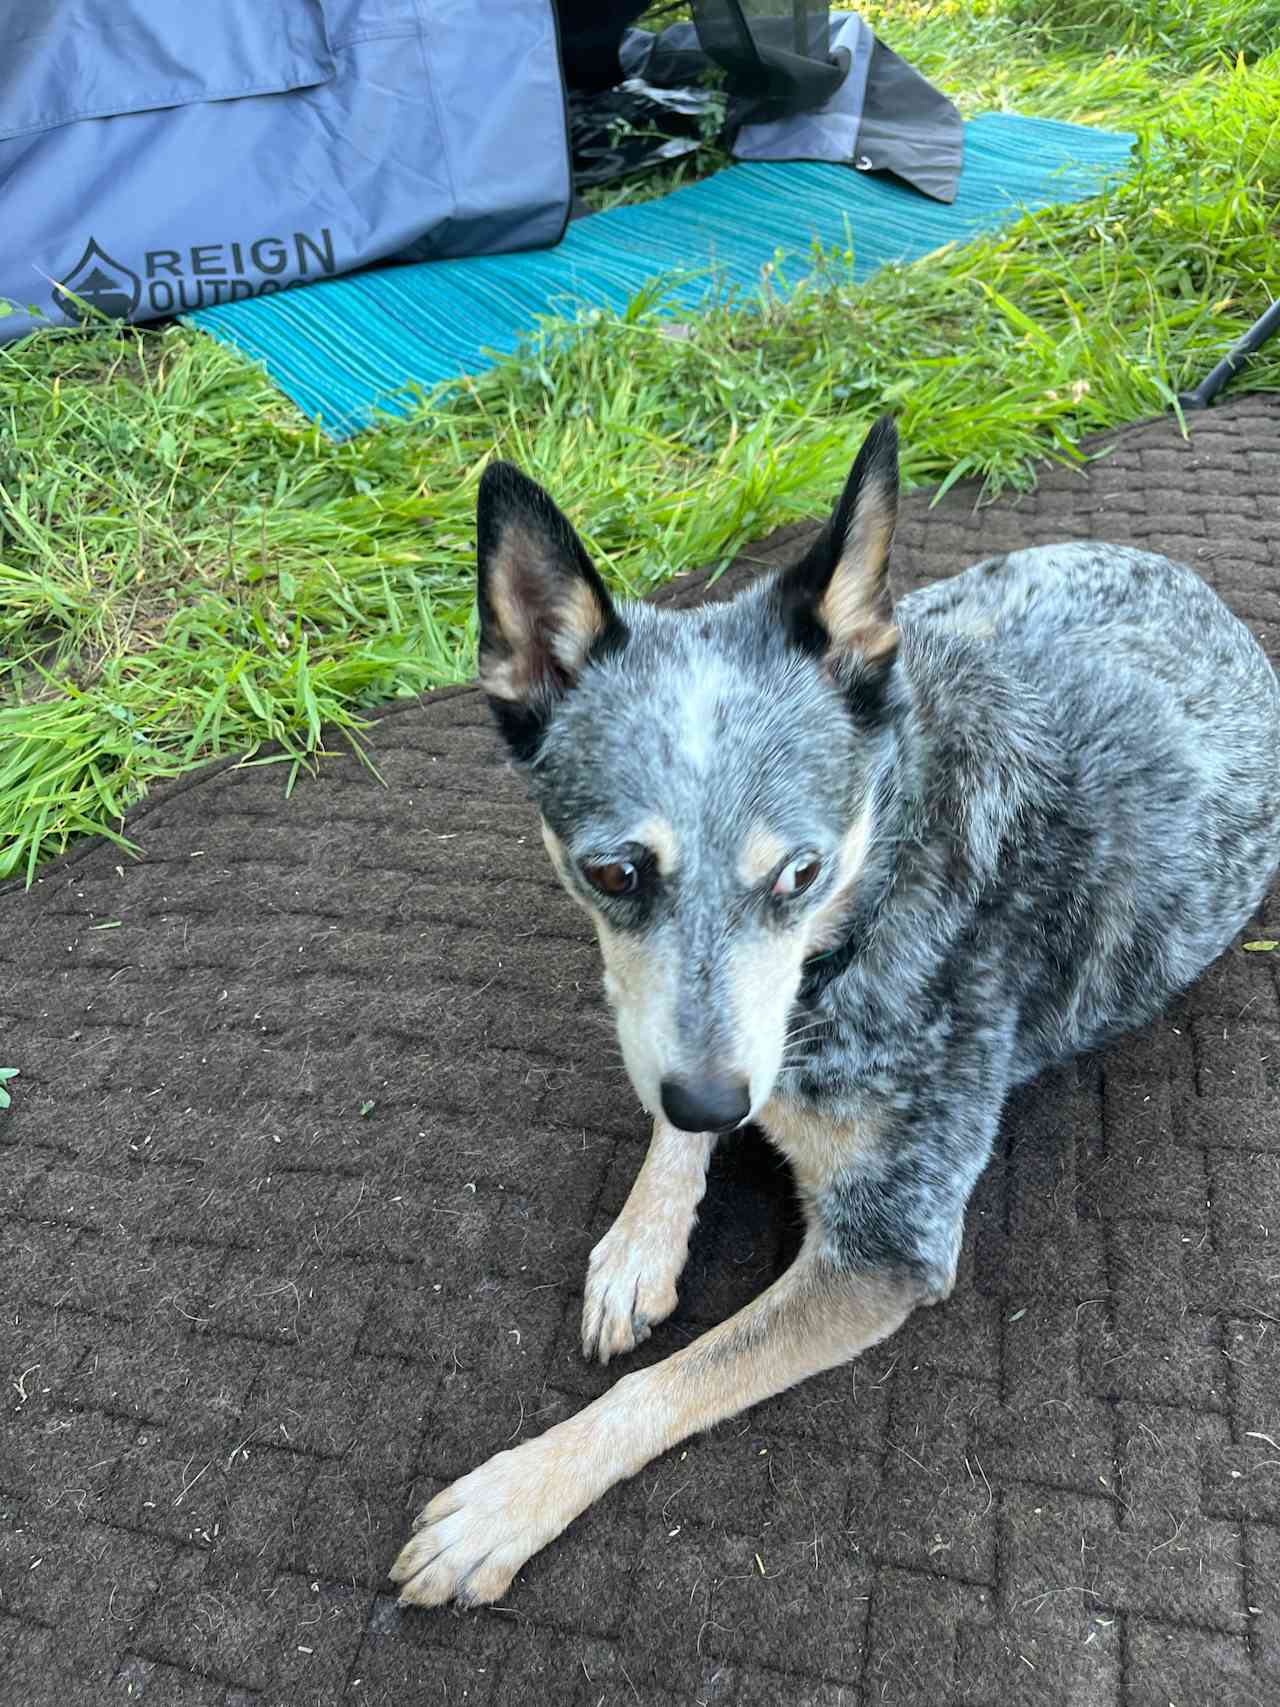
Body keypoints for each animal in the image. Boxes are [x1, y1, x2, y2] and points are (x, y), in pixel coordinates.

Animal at [390, 416, 1280, 1611]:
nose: (713, 1105)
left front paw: (511, 1497)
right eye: (614, 873)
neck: (876, 882)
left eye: (800, 873)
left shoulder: (886, 1245)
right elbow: (668, 1087)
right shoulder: (699, 1046)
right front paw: (642, 1237)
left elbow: (667, 1381)